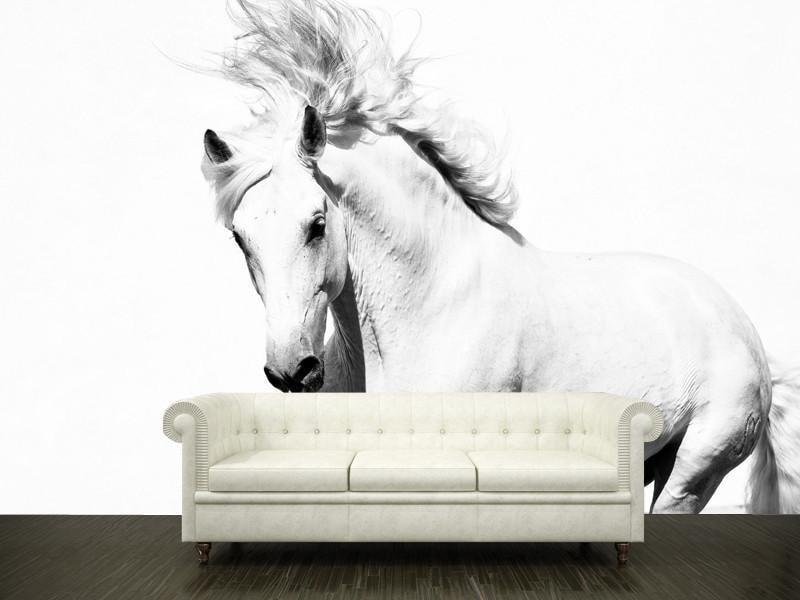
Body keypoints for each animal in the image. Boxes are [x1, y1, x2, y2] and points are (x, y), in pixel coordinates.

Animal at [198, 0, 800, 514]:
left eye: (317, 225)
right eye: (240, 238)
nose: (290, 370)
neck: (427, 309)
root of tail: (742, 327)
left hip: (694, 471)